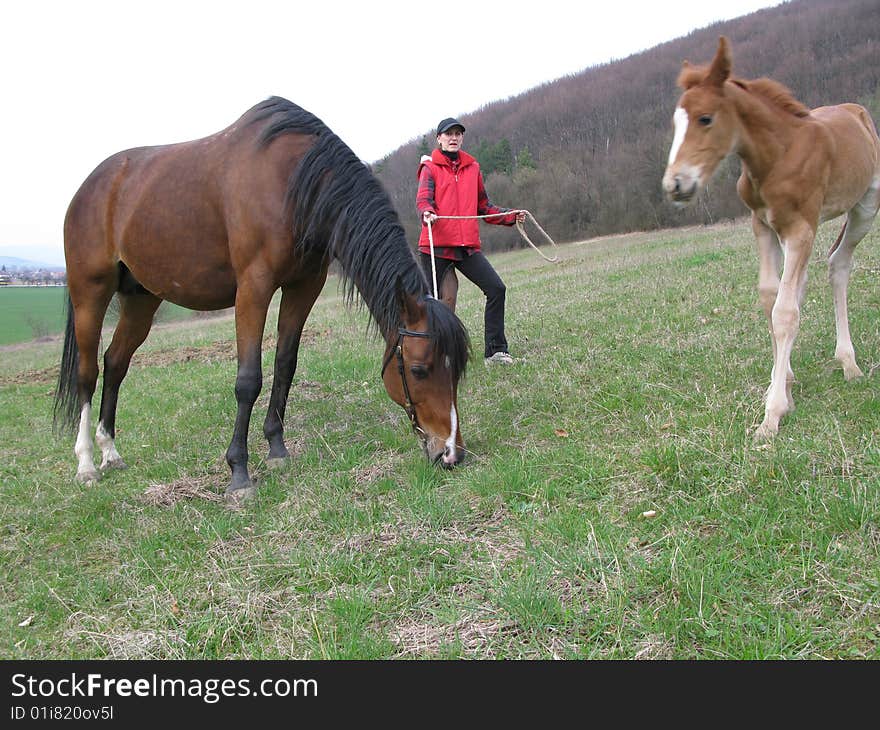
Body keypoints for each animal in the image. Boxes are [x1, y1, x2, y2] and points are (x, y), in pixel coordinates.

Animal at [55, 95, 470, 494]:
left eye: (457, 368)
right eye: (418, 370)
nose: (451, 453)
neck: (293, 181)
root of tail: (89, 187)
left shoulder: (304, 286)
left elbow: (285, 365)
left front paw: (276, 449)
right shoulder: (253, 288)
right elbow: (248, 379)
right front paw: (239, 472)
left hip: (141, 299)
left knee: (115, 362)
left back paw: (110, 451)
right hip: (89, 293)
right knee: (87, 373)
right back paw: (87, 464)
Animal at [664, 37, 876, 438]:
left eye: (705, 118)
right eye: (676, 122)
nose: (675, 185)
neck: (778, 155)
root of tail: (854, 110)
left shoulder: (800, 228)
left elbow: (785, 311)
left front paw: (772, 415)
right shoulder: (763, 225)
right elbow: (770, 296)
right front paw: (784, 386)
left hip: (864, 210)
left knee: (839, 265)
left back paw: (849, 363)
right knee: (806, 280)